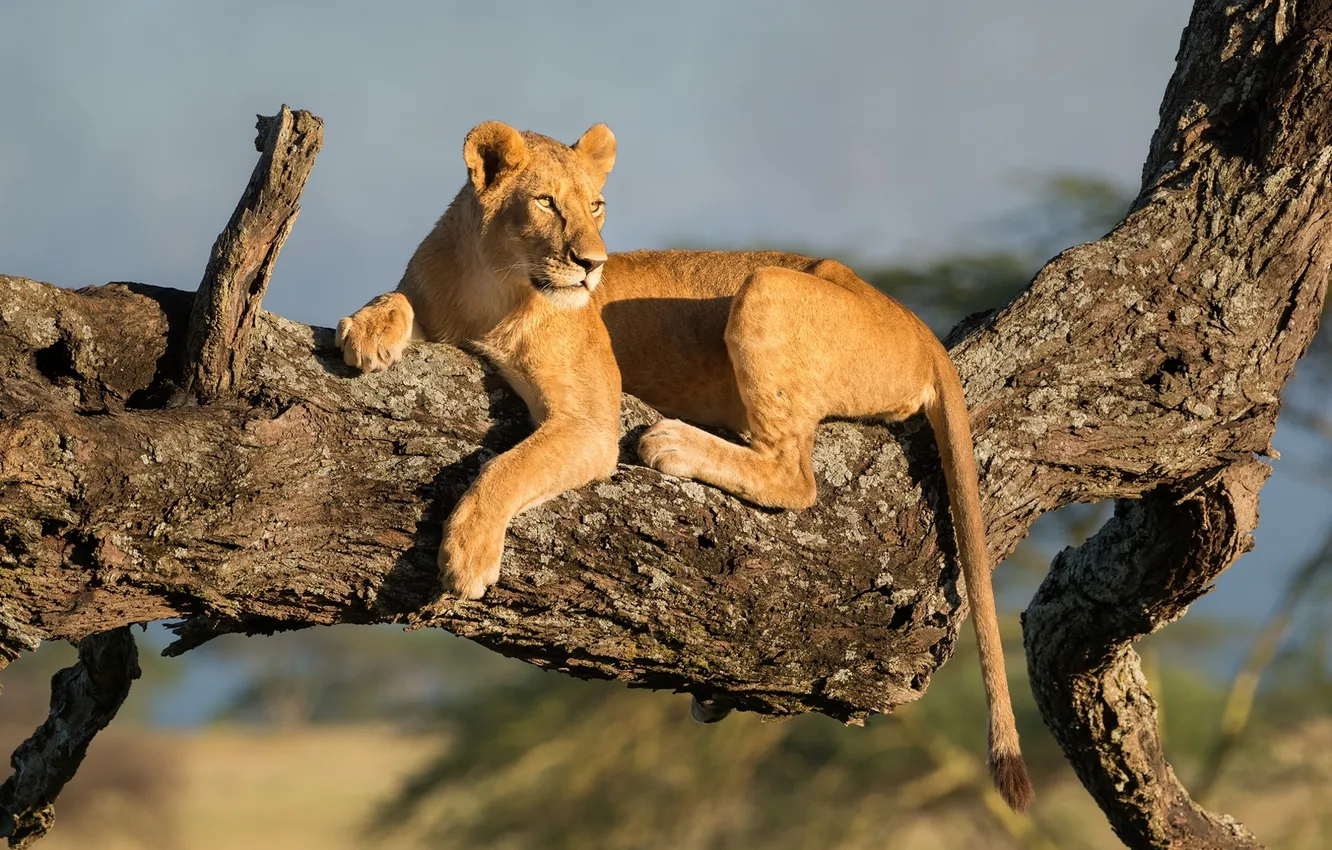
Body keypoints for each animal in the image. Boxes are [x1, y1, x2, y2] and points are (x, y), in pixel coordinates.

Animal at [336, 121, 1034, 812]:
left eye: (596, 205)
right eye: (546, 203)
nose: (592, 265)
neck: (491, 283)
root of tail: (921, 329)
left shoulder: (591, 424)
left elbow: (508, 468)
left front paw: (468, 554)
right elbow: (394, 294)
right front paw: (367, 329)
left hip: (767, 287)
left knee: (794, 475)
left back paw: (672, 443)